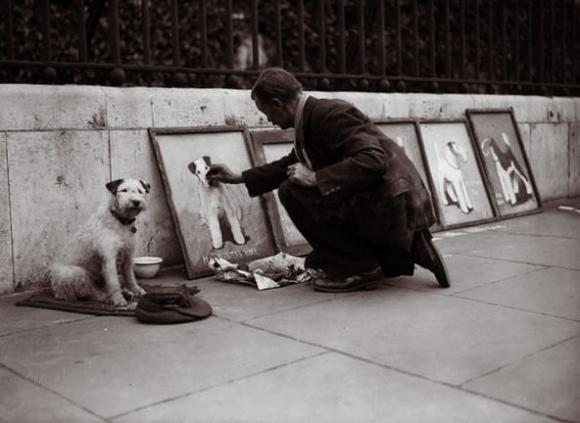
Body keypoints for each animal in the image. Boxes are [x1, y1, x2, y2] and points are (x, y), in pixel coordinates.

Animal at [47, 179, 151, 308]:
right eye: (124, 190)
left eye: (140, 191)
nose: (136, 202)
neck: (120, 221)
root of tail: (56, 291)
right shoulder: (109, 258)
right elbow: (113, 282)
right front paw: (118, 299)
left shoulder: (128, 255)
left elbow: (130, 276)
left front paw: (135, 289)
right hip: (75, 273)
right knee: (90, 292)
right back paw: (106, 296)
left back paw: (124, 292)